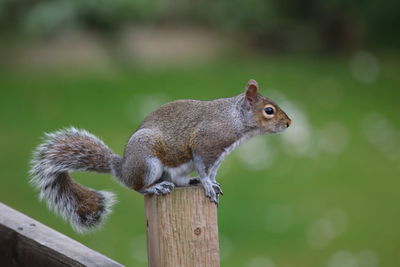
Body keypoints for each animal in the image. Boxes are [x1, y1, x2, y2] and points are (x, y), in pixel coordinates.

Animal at [28, 79, 290, 232]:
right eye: (269, 111)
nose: (288, 123)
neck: (234, 119)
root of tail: (123, 168)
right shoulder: (204, 145)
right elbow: (204, 168)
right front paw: (207, 185)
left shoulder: (218, 155)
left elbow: (212, 171)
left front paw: (212, 183)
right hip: (147, 162)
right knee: (137, 187)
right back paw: (155, 187)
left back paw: (188, 181)